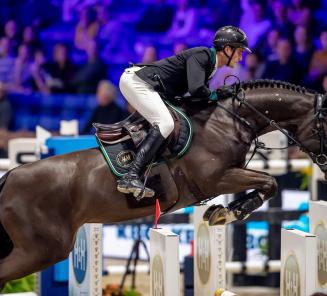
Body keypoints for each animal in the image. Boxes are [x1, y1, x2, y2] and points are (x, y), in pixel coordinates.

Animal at [0, 79, 326, 286]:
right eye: (323, 126)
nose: (325, 163)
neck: (227, 121)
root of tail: (9, 179)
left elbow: (267, 183)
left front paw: (220, 213)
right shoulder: (218, 178)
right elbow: (269, 182)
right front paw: (227, 213)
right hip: (42, 249)